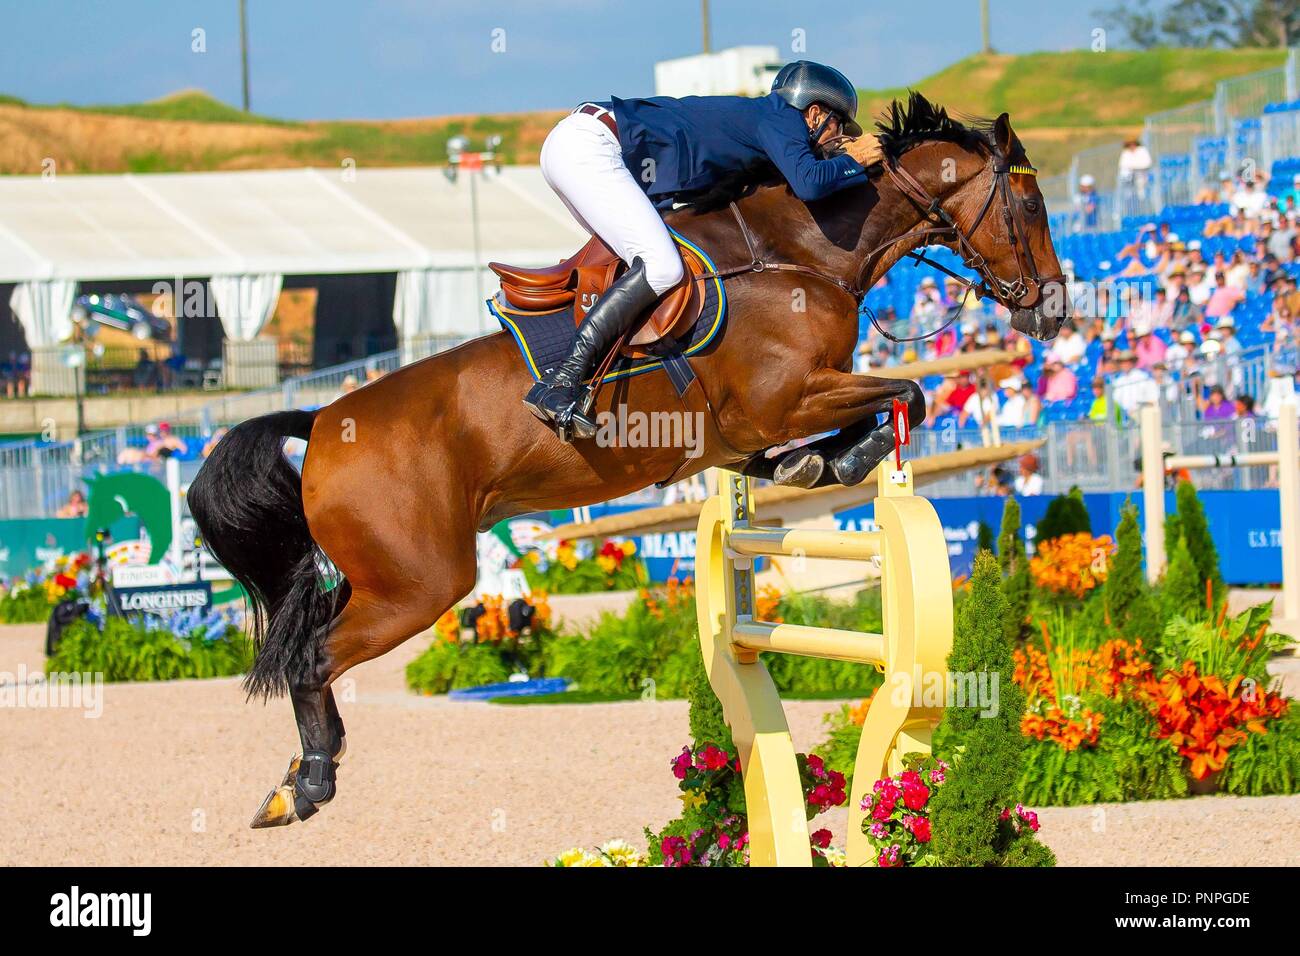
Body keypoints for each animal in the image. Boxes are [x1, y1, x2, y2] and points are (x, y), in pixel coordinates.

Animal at [192, 95, 1066, 832]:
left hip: (389, 581)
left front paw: (818, 466)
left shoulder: (757, 426)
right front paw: (848, 456)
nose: (1054, 309)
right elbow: (908, 392)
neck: (803, 255)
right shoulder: (783, 402)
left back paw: (302, 775)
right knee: (312, 658)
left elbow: (862, 417)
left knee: (310, 652)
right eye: (1030, 205)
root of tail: (321, 420)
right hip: (418, 584)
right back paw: (308, 784)